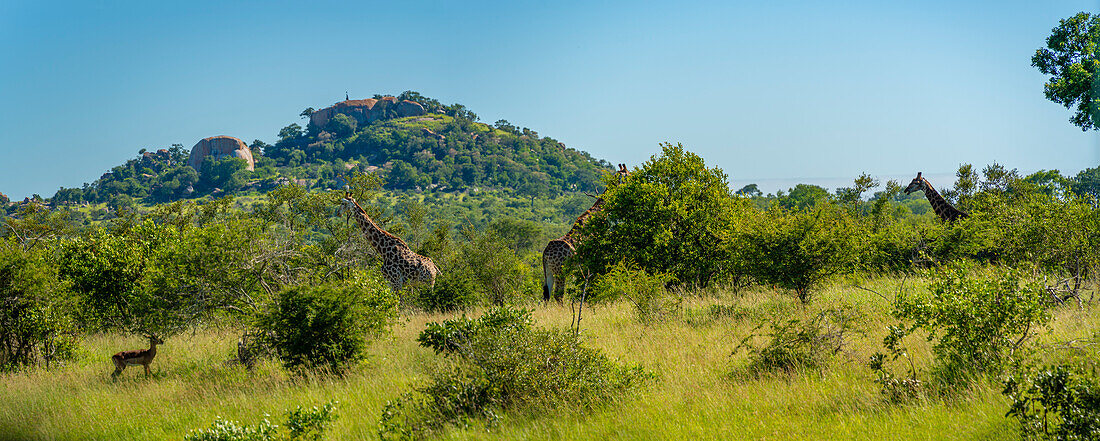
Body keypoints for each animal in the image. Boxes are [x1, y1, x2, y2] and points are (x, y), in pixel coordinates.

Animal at [541, 162, 629, 301]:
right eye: (629, 175)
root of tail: (545, 254)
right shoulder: (595, 255)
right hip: (560, 271)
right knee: (558, 295)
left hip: (549, 272)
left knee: (546, 295)